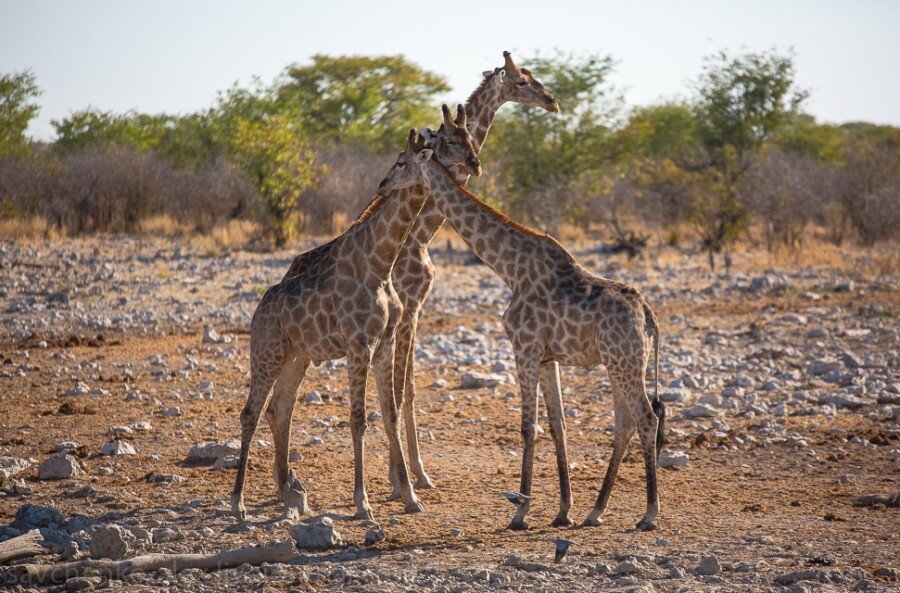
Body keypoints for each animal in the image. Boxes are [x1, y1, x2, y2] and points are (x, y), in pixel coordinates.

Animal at [234, 105, 486, 520]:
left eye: (466, 137)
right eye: (445, 140)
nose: (474, 164)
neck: (380, 262)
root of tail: (258, 311)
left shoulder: (383, 344)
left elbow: (391, 411)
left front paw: (410, 495)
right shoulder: (358, 346)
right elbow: (357, 420)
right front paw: (363, 502)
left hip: (297, 356)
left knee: (280, 409)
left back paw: (288, 492)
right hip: (267, 351)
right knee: (250, 413)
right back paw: (237, 502)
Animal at [284, 51, 564, 498]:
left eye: (532, 75)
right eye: (521, 80)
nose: (552, 100)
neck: (422, 233)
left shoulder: (414, 309)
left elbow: (405, 389)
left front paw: (414, 475)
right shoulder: (408, 309)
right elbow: (402, 391)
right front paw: (405, 478)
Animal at [376, 145, 664, 532]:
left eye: (402, 161)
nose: (383, 184)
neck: (510, 269)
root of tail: (648, 317)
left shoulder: (524, 348)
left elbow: (529, 428)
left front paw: (520, 512)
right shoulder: (546, 356)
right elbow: (558, 426)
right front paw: (563, 510)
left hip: (625, 364)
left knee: (647, 419)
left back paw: (648, 514)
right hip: (620, 363)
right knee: (625, 425)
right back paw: (596, 511)